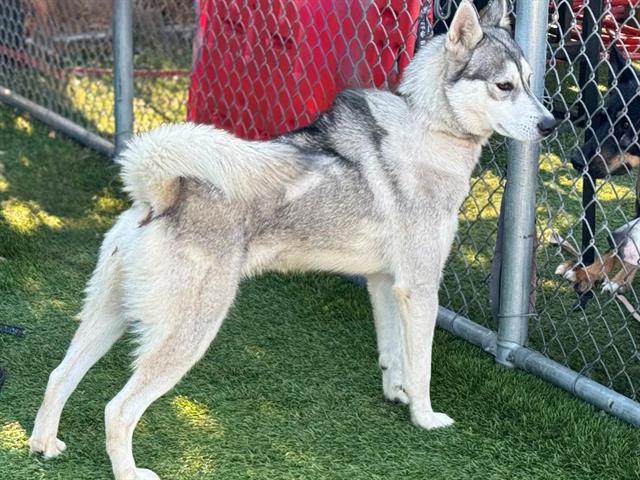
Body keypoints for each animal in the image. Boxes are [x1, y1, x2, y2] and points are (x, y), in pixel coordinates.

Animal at [28, 1, 556, 478]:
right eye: (503, 86)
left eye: (531, 81)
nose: (550, 124)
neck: (430, 125)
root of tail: (159, 194)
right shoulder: (420, 288)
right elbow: (421, 364)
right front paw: (423, 418)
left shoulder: (385, 284)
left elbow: (394, 355)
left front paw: (397, 395)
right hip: (189, 333)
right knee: (117, 410)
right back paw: (129, 471)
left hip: (109, 316)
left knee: (59, 374)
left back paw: (44, 444)